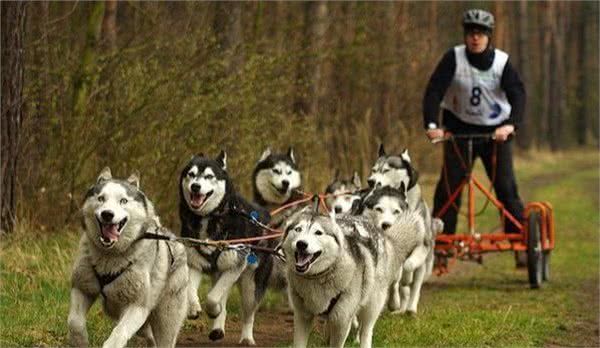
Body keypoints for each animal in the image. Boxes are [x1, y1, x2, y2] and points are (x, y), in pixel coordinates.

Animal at [67, 167, 188, 346]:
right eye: (101, 198)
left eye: (123, 201)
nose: (107, 214)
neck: (110, 256)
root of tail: (171, 237)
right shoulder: (82, 287)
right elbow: (75, 323)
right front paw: (80, 342)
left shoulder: (137, 306)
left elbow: (119, 333)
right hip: (132, 319)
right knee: (149, 336)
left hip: (166, 318)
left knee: (163, 339)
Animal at [179, 150, 270, 346]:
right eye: (191, 174)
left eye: (209, 176)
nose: (195, 187)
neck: (208, 218)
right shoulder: (195, 263)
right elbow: (191, 290)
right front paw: (193, 308)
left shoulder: (235, 265)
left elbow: (213, 298)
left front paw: (213, 310)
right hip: (219, 272)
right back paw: (217, 329)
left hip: (250, 283)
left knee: (249, 313)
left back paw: (247, 337)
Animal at [284, 205, 424, 346]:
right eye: (298, 229)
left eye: (318, 232)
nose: (301, 244)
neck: (318, 276)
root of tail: (380, 232)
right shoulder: (302, 316)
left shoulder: (342, 322)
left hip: (372, 303)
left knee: (366, 330)